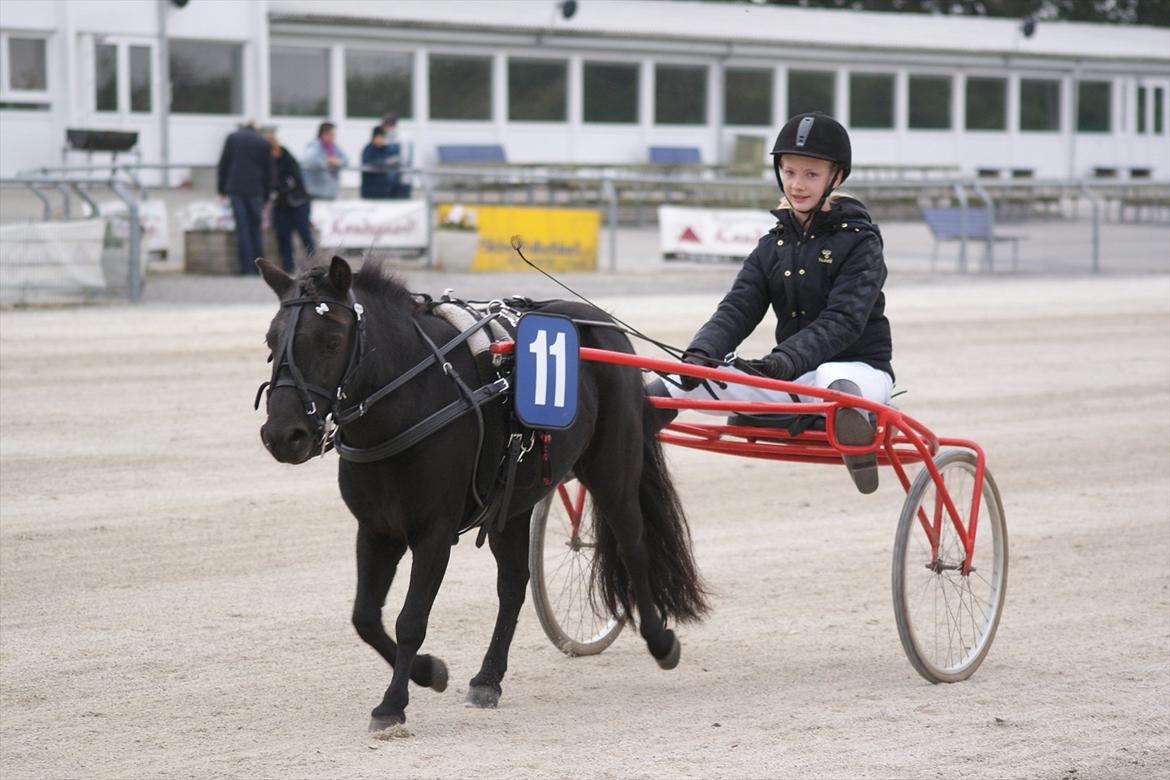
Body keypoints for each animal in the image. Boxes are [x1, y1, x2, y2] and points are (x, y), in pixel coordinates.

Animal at [257, 257, 706, 734]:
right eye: (271, 339)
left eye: (331, 340)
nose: (283, 435)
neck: (410, 399)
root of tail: (601, 321)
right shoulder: (377, 529)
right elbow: (364, 617)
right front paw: (429, 671)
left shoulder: (434, 532)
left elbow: (410, 619)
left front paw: (392, 703)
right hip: (515, 499)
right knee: (513, 583)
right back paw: (487, 679)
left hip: (612, 470)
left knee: (632, 546)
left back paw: (660, 641)